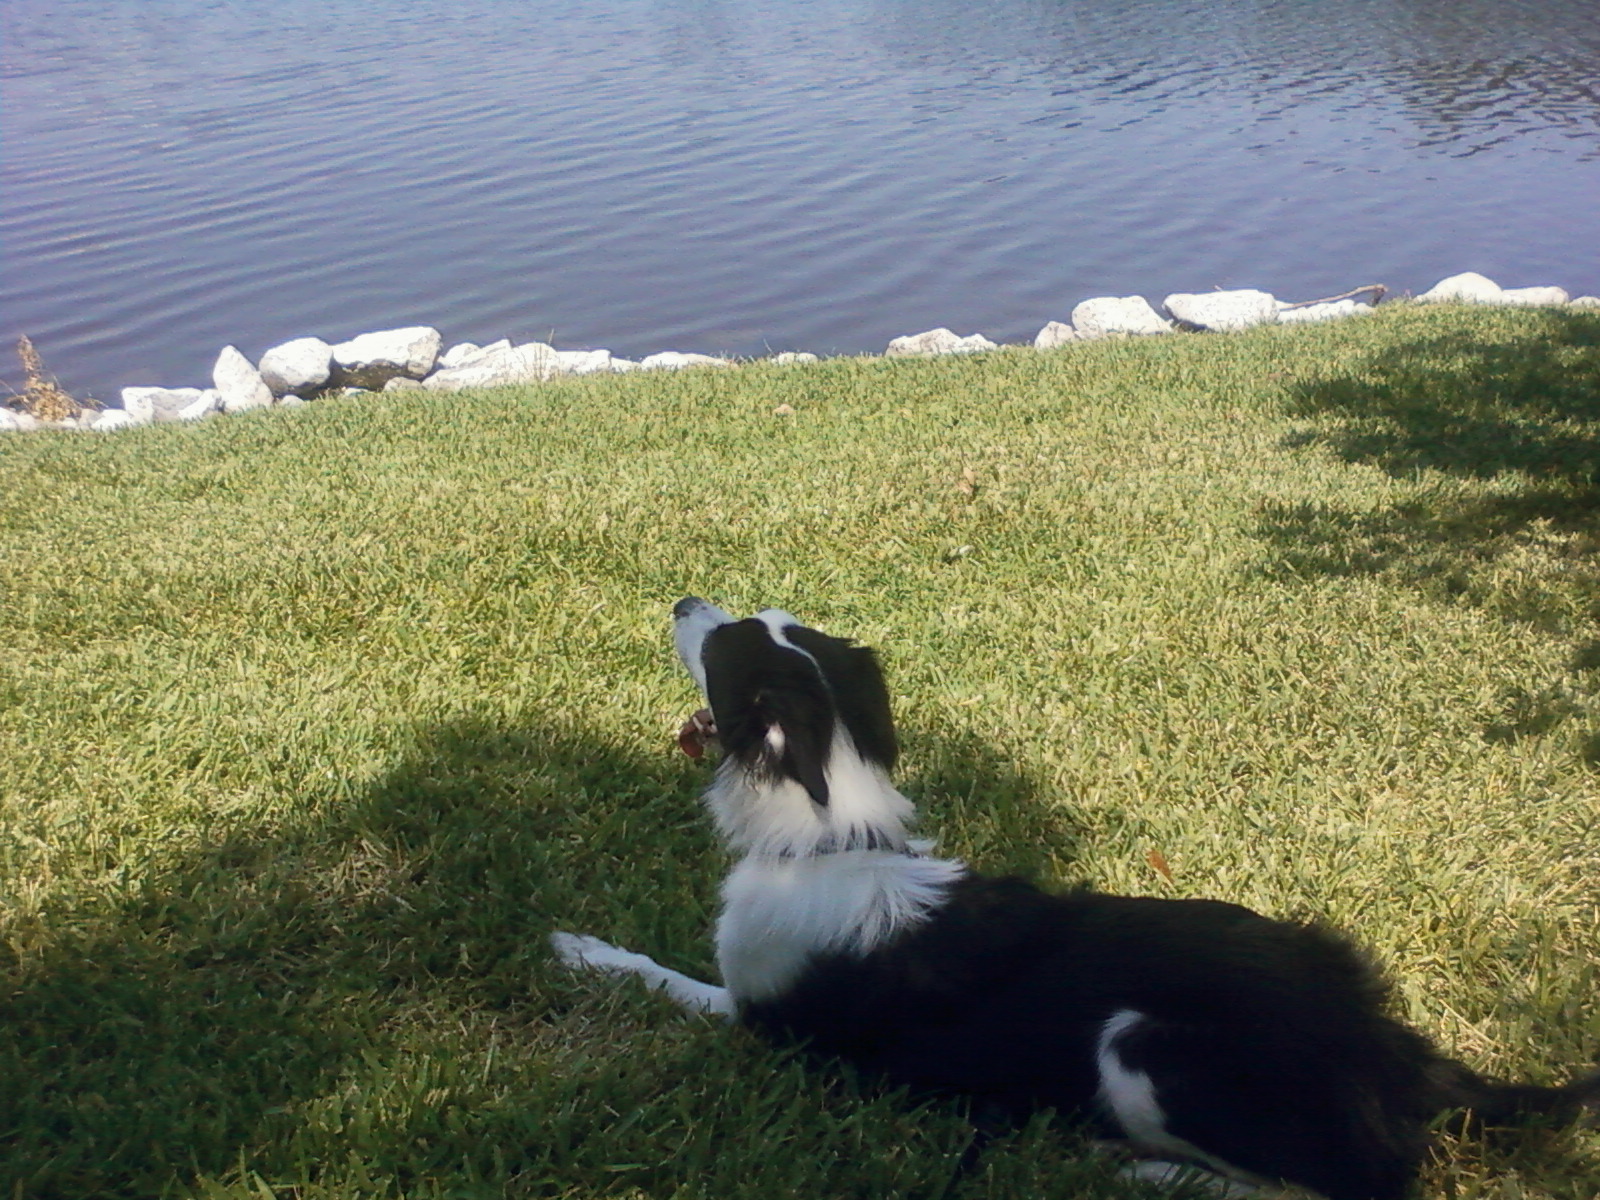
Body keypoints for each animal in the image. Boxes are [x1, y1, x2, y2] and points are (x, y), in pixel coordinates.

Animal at [552, 598, 1599, 1200]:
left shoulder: (759, 1022)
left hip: (1138, 1043)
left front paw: (580, 951)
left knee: (1324, 1192)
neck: (827, 830)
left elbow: (659, 977)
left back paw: (1143, 1170)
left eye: (723, 643)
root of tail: (1394, 1051)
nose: (684, 599)